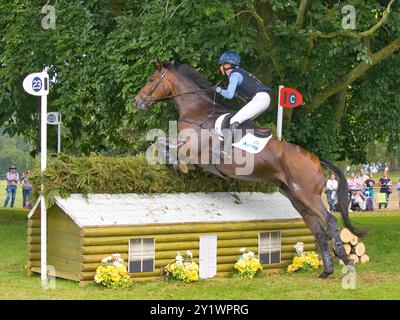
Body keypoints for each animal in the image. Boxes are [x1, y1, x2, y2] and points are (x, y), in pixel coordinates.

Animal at [134, 59, 366, 278]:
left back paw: (346, 262)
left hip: (307, 194)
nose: (137, 101)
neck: (198, 111)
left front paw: (178, 165)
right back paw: (326, 270)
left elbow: (161, 142)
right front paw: (175, 164)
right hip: (295, 196)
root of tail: (316, 159)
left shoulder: (190, 147)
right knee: (317, 228)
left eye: (152, 79)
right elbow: (160, 141)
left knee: (329, 220)